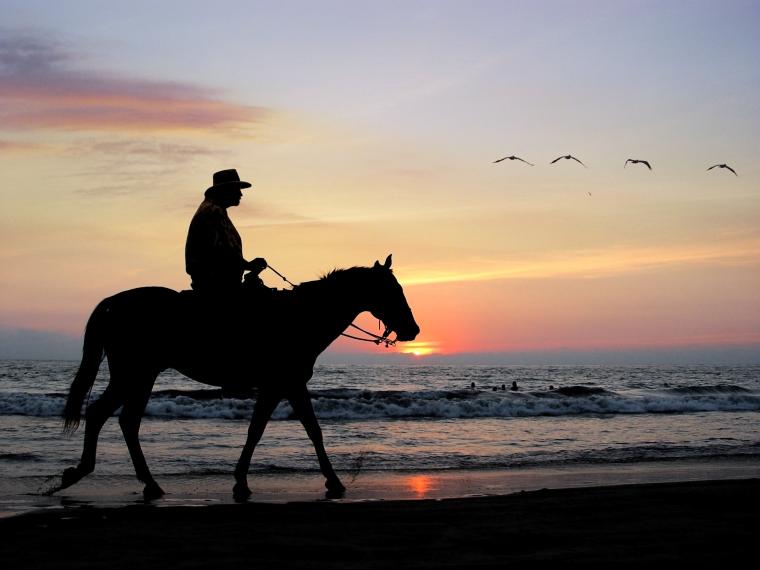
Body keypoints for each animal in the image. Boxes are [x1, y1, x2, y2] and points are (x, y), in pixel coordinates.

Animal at [55, 255, 419, 500]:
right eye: (393, 290)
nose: (413, 330)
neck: (301, 317)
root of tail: (113, 303)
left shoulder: (285, 386)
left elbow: (287, 430)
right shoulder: (283, 384)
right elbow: (279, 431)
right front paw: (330, 481)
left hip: (140, 375)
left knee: (120, 419)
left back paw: (141, 483)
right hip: (134, 374)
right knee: (106, 415)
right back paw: (88, 473)